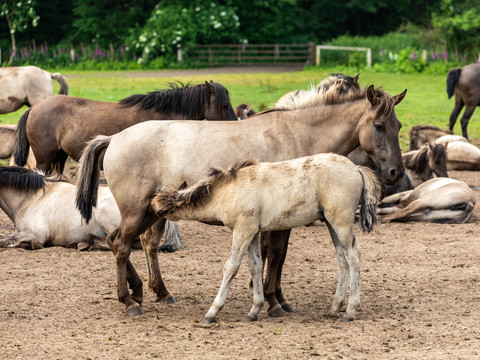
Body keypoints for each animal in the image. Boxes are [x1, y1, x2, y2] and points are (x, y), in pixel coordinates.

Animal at [150, 153, 382, 322]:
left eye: (165, 204)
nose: (152, 210)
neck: (229, 190)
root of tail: (356, 168)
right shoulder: (252, 233)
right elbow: (255, 265)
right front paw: (254, 310)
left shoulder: (242, 231)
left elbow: (231, 267)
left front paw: (212, 312)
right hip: (331, 224)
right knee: (342, 258)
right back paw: (334, 308)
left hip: (340, 222)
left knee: (353, 255)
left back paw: (350, 311)